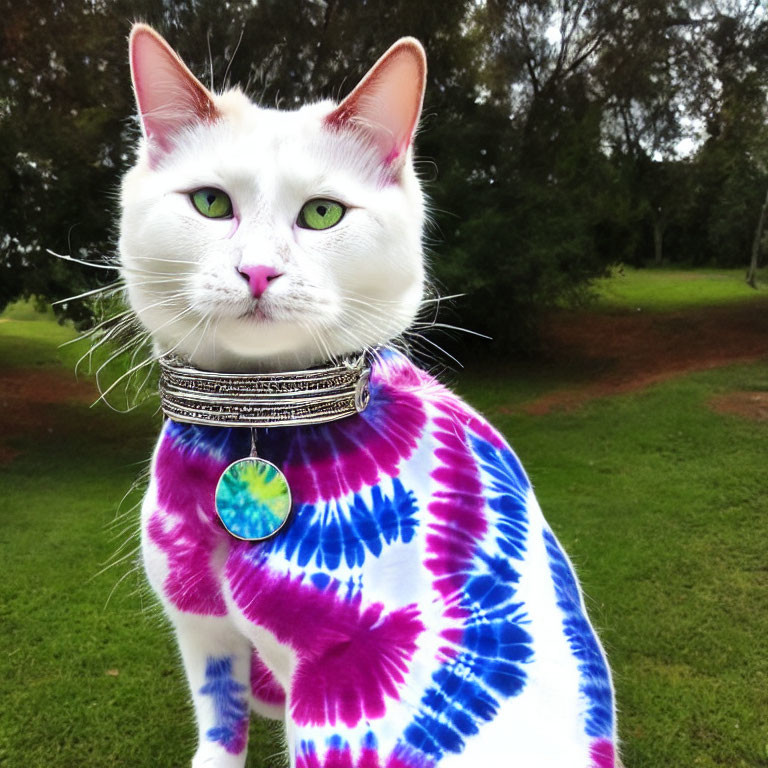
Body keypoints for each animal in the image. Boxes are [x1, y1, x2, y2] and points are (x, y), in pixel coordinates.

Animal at [118, 22, 616, 768]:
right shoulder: (202, 629)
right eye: (209, 203)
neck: (257, 422)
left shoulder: (341, 687)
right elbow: (218, 728)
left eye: (323, 213)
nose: (257, 271)